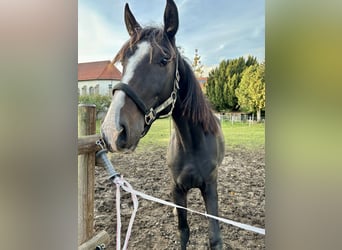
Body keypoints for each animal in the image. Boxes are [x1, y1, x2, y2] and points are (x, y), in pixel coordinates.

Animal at [101, 0, 224, 248]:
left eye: (165, 59)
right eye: (124, 61)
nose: (112, 131)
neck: (192, 144)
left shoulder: (210, 188)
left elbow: (214, 238)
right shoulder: (177, 189)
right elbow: (183, 231)